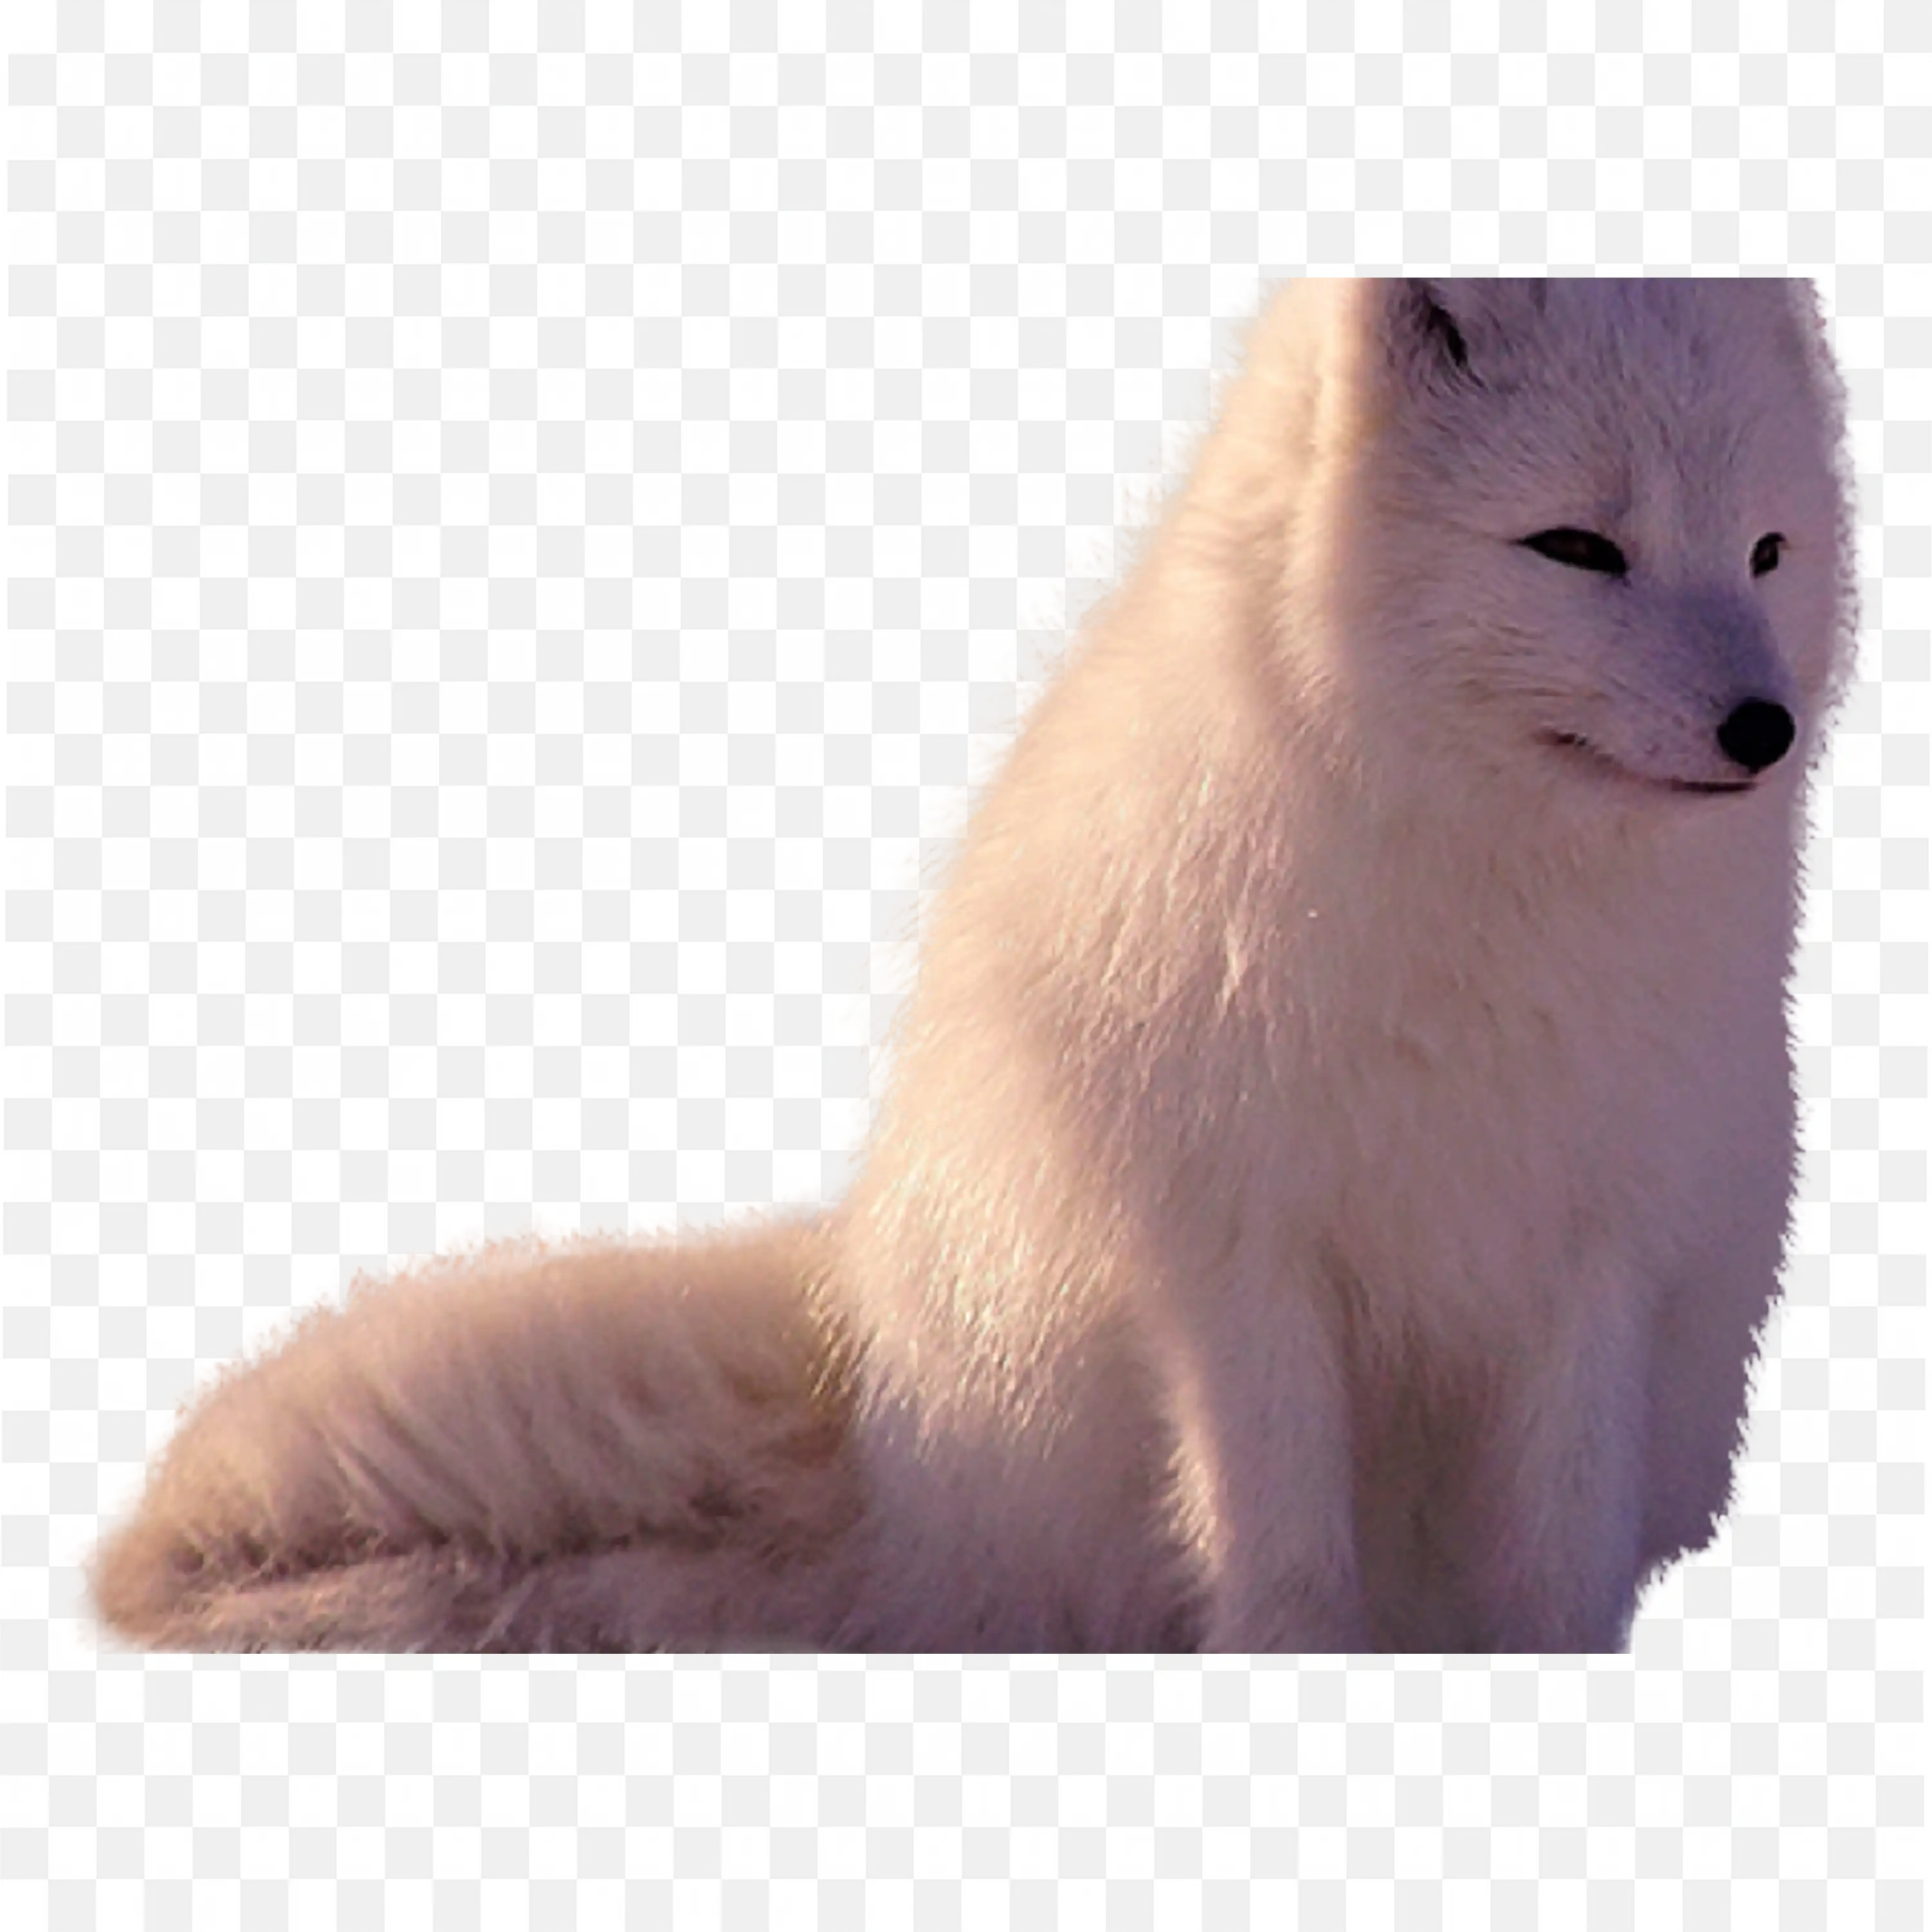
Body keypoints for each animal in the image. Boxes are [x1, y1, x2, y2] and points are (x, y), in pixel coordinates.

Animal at [81, 277, 1862, 1654]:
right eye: (1576, 547)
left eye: (1766, 551)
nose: (1760, 730)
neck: (1489, 908)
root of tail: (884, 1437)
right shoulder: (1232, 1255)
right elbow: (1282, 1560)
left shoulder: (1598, 1256)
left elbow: (1558, 1561)